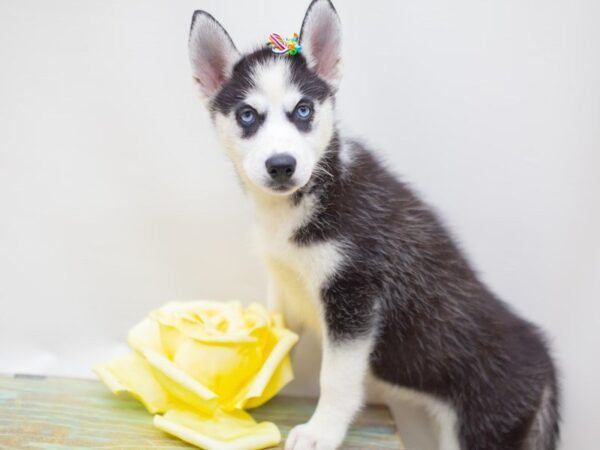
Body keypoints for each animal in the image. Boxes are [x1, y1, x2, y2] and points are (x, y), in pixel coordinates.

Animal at [186, 1, 556, 448]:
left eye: (303, 111)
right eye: (247, 116)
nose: (281, 165)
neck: (306, 198)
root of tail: (543, 361)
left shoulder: (354, 296)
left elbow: (336, 378)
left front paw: (322, 431)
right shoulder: (284, 282)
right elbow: (276, 338)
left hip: (482, 427)